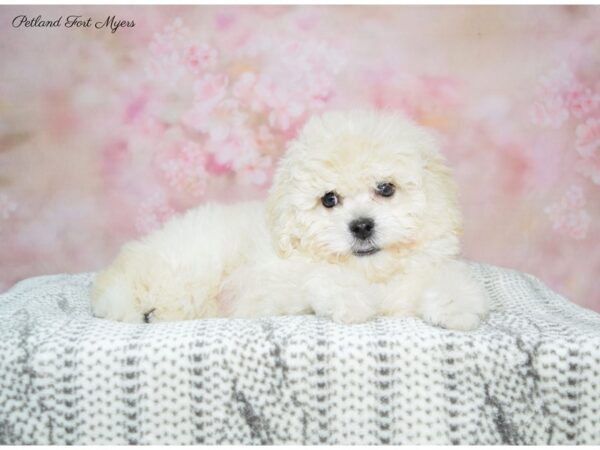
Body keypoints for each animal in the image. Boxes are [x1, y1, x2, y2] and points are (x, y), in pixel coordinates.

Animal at [91, 111, 490, 330]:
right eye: (329, 200)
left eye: (386, 189)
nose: (361, 226)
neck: (371, 273)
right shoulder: (272, 284)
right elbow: (319, 276)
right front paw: (352, 301)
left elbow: (447, 277)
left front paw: (456, 306)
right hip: (189, 264)